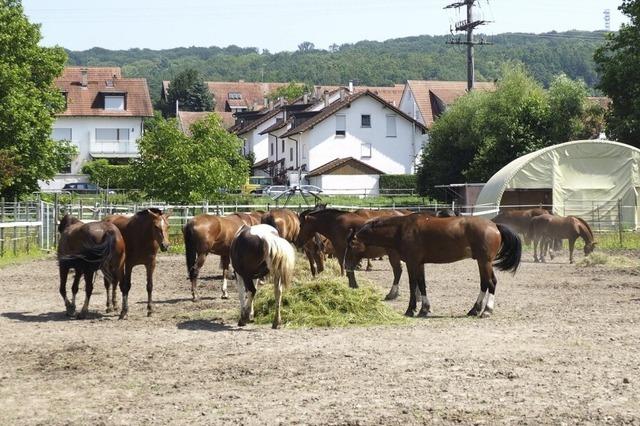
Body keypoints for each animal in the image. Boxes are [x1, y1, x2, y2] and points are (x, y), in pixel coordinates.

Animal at [344, 215, 520, 318]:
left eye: (351, 245)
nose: (346, 265)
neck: (401, 229)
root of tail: (494, 225)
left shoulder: (412, 262)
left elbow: (413, 284)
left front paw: (411, 310)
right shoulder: (419, 263)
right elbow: (422, 285)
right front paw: (424, 309)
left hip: (485, 261)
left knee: (491, 283)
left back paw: (487, 311)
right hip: (481, 262)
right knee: (484, 283)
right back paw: (474, 310)